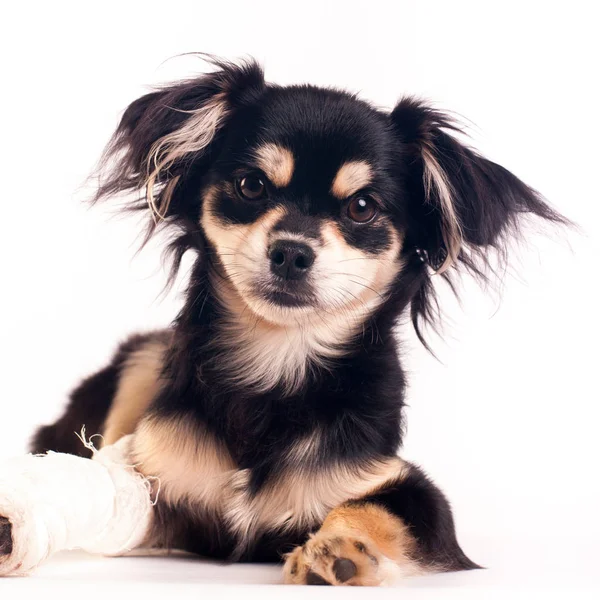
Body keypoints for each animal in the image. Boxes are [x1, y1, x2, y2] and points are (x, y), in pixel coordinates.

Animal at [0, 57, 564, 584]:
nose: (291, 252)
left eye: (362, 207)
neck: (276, 363)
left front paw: (341, 551)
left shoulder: (407, 490)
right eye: (251, 186)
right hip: (141, 358)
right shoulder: (158, 498)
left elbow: (375, 506)